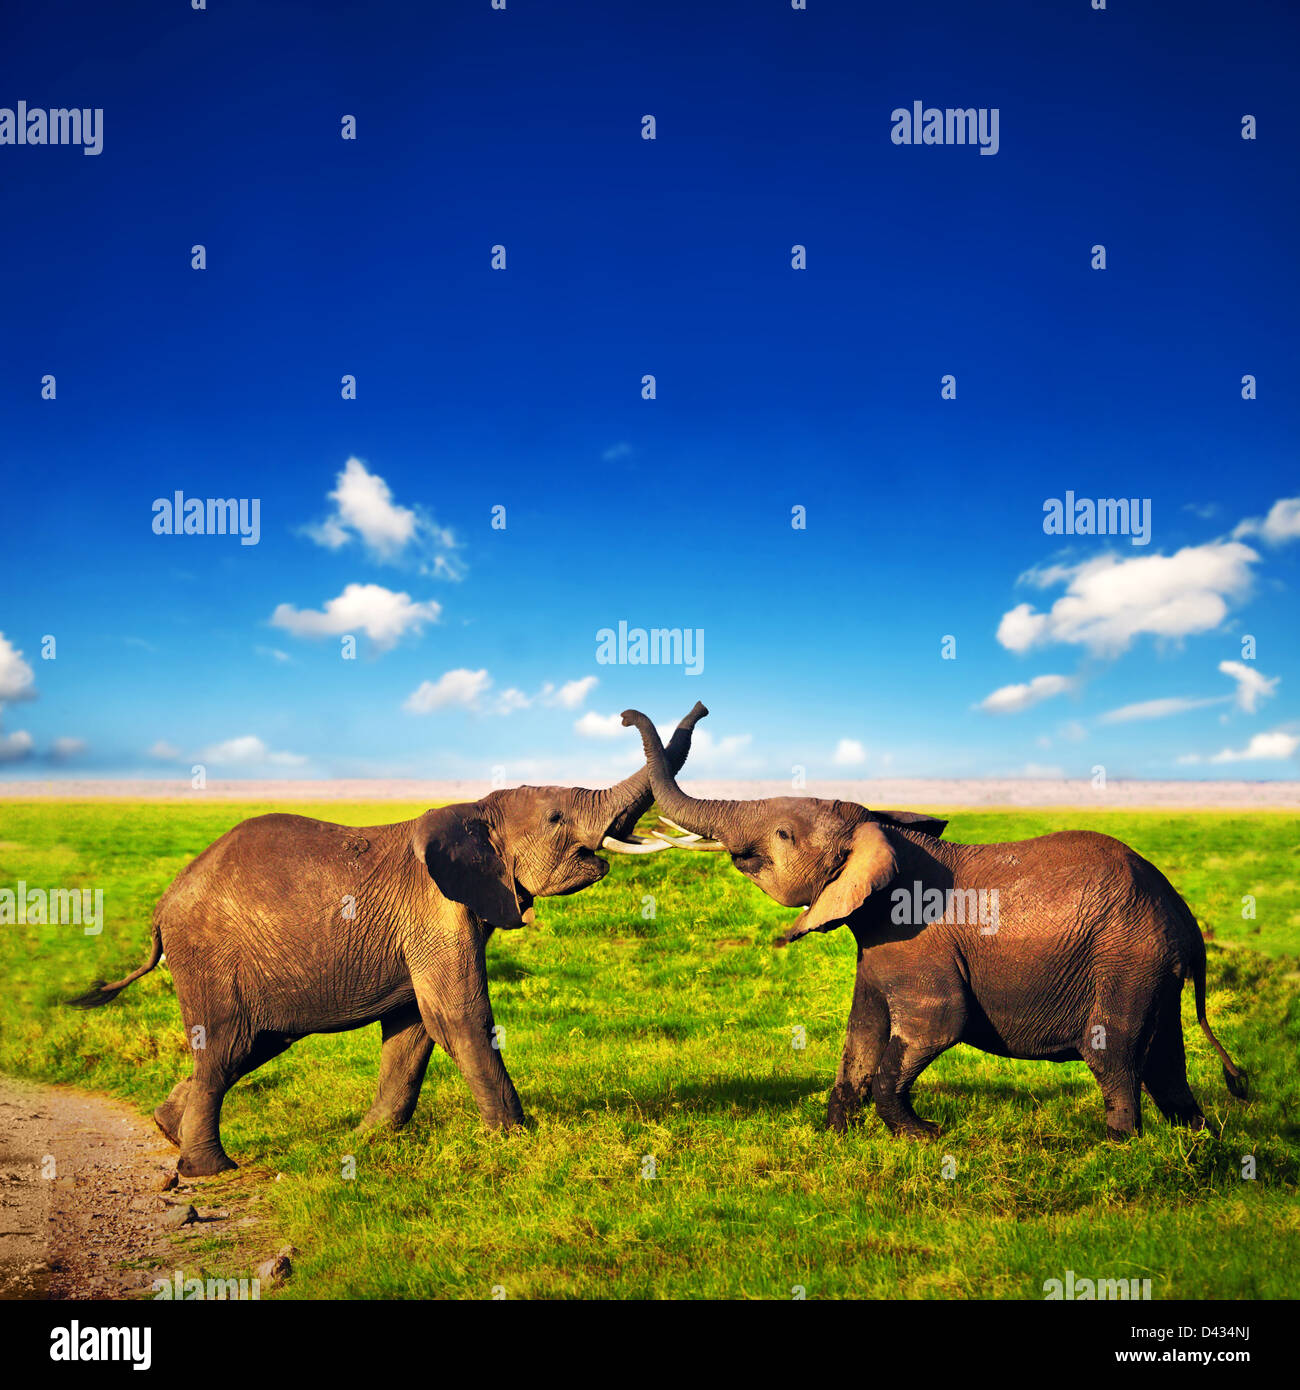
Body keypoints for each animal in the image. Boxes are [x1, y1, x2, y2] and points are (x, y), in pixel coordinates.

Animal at [68, 706, 711, 1173]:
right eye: (556, 819)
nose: (626, 715)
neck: (476, 810)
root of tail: (163, 904)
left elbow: (413, 1031)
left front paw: (367, 1141)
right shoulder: (438, 911)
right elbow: (460, 1017)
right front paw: (517, 1141)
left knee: (248, 1049)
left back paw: (165, 1126)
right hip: (209, 958)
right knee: (226, 1046)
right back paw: (210, 1169)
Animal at [625, 706, 1245, 1139]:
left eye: (781, 835)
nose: (629, 715)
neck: (882, 833)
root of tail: (1188, 926)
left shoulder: (917, 941)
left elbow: (935, 1025)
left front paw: (925, 1136)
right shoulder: (879, 946)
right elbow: (862, 1031)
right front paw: (835, 1137)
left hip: (1127, 955)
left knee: (1112, 1051)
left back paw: (1116, 1146)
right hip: (1151, 967)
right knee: (1164, 1058)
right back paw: (1196, 1138)